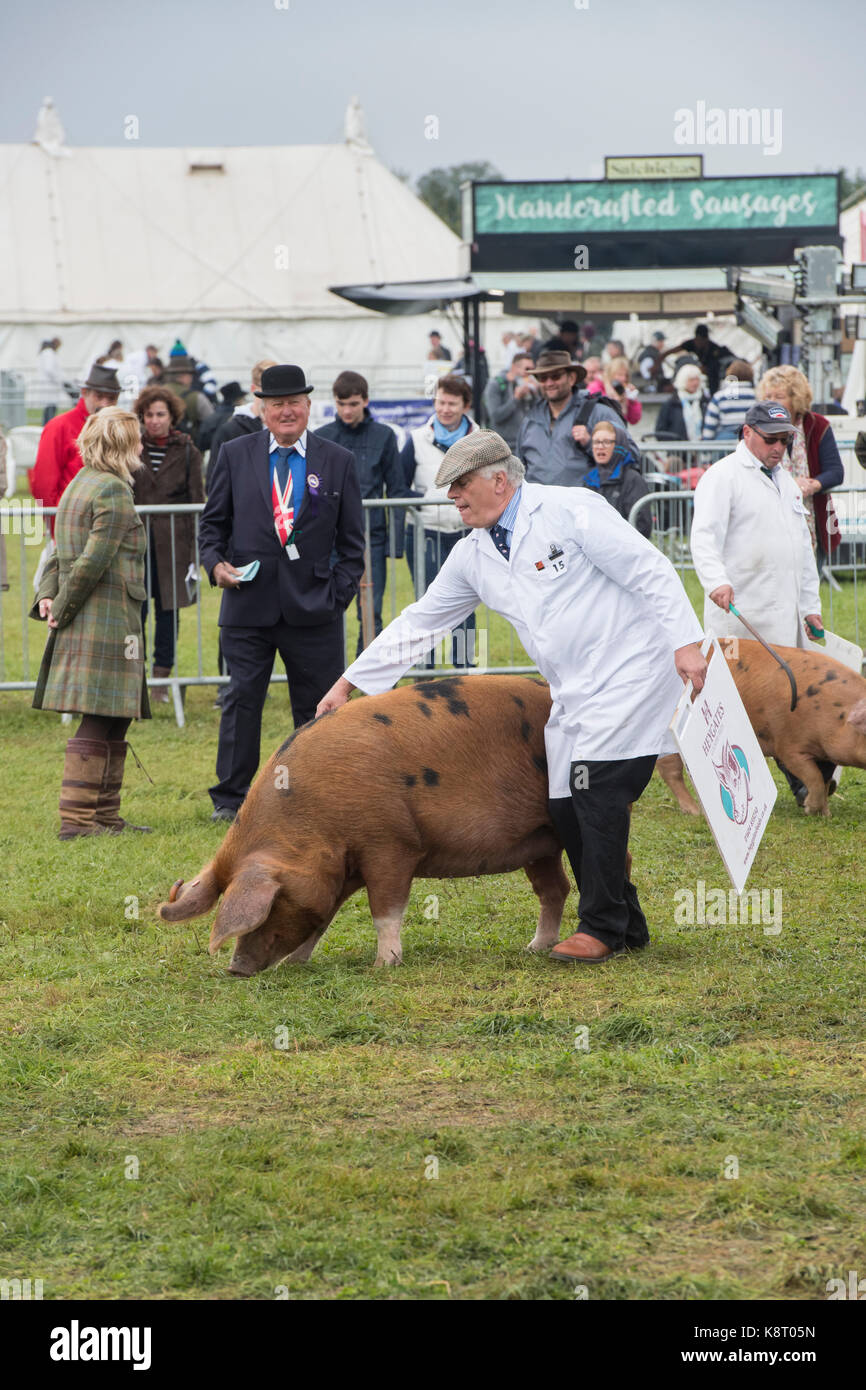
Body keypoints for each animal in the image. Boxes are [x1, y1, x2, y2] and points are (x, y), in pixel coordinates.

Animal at [158, 675, 572, 978]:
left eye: (271, 904)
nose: (236, 969)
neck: (315, 823)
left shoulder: (392, 845)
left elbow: (384, 909)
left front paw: (383, 965)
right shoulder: (339, 871)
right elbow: (322, 918)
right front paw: (296, 962)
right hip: (540, 844)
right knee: (555, 889)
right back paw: (535, 947)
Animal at [656, 636, 866, 817]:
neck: (836, 716)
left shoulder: (827, 756)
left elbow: (824, 781)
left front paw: (825, 814)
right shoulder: (789, 747)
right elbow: (813, 777)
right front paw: (810, 809)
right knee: (669, 768)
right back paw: (694, 811)